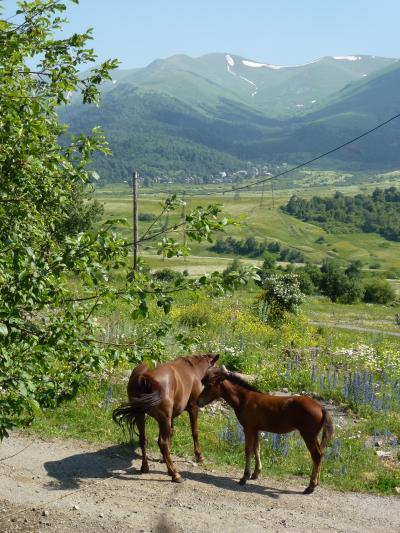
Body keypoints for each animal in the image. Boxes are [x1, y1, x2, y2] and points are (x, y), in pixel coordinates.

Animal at [112, 354, 219, 482]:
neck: (193, 369)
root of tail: (144, 376)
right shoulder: (193, 407)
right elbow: (194, 432)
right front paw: (199, 456)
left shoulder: (171, 417)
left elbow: (170, 435)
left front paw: (166, 458)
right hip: (163, 419)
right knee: (162, 442)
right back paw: (175, 474)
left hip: (141, 416)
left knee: (143, 440)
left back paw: (145, 467)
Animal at [198, 366, 334, 494]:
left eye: (209, 385)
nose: (199, 401)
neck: (244, 399)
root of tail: (321, 408)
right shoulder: (256, 429)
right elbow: (256, 449)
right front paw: (255, 473)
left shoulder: (248, 428)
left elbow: (248, 450)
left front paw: (244, 477)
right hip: (313, 436)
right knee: (320, 455)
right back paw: (315, 483)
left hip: (308, 435)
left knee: (316, 455)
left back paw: (310, 486)